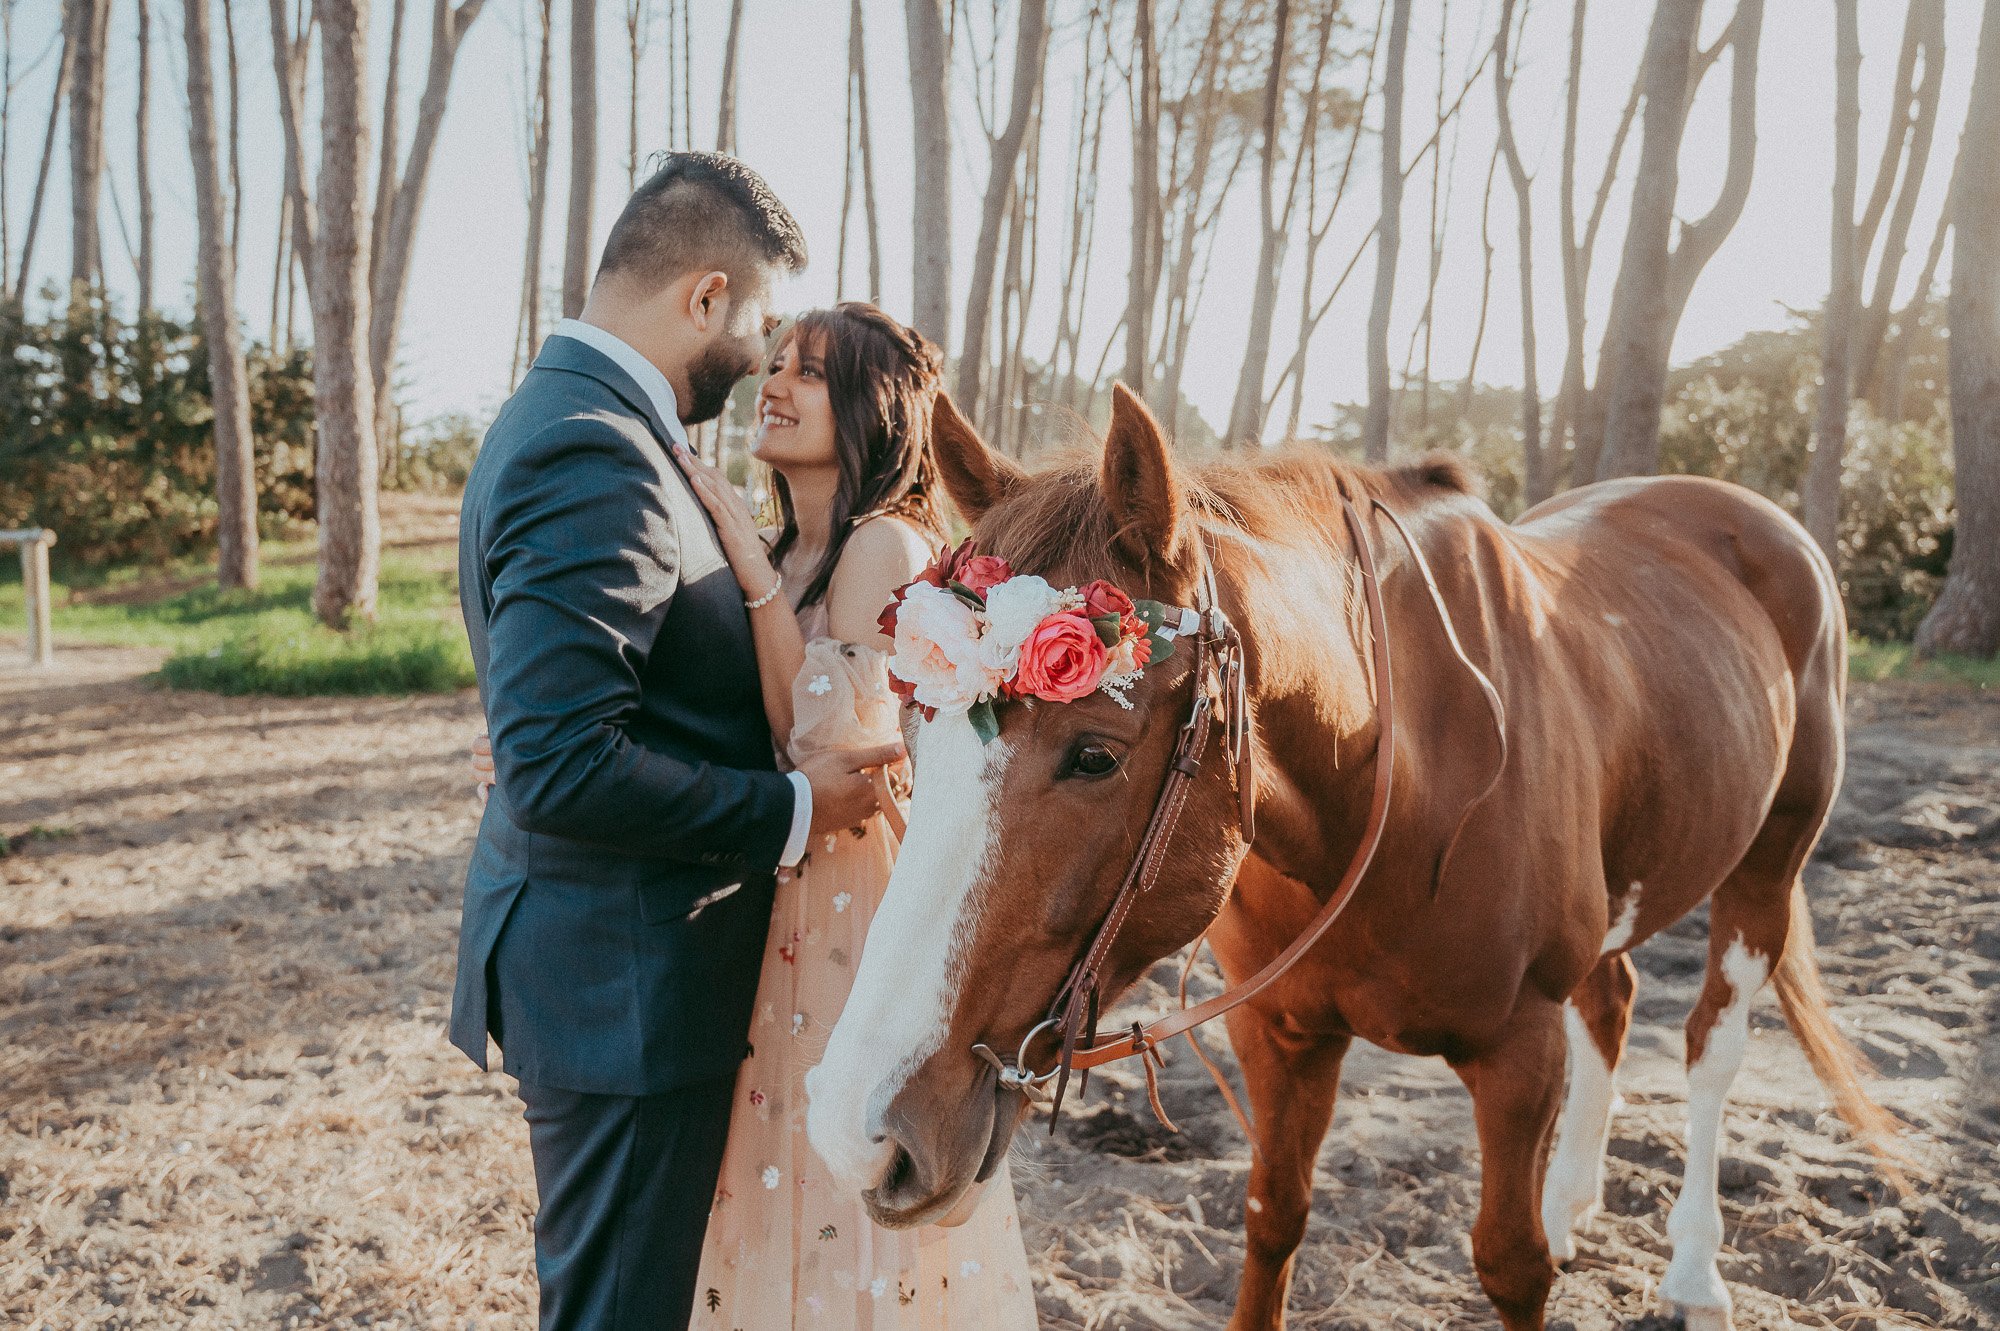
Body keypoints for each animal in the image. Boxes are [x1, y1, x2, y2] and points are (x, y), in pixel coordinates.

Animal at [804, 383, 1896, 1327]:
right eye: (913, 728)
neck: (1395, 785)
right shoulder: (1281, 1038)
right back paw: (1574, 1196)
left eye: (1094, 754)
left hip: (1766, 866)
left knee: (1711, 1047)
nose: (858, 1132)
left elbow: (1511, 1264)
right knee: (1614, 998)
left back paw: (1693, 1267)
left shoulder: (1518, 1055)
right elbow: (1271, 1218)